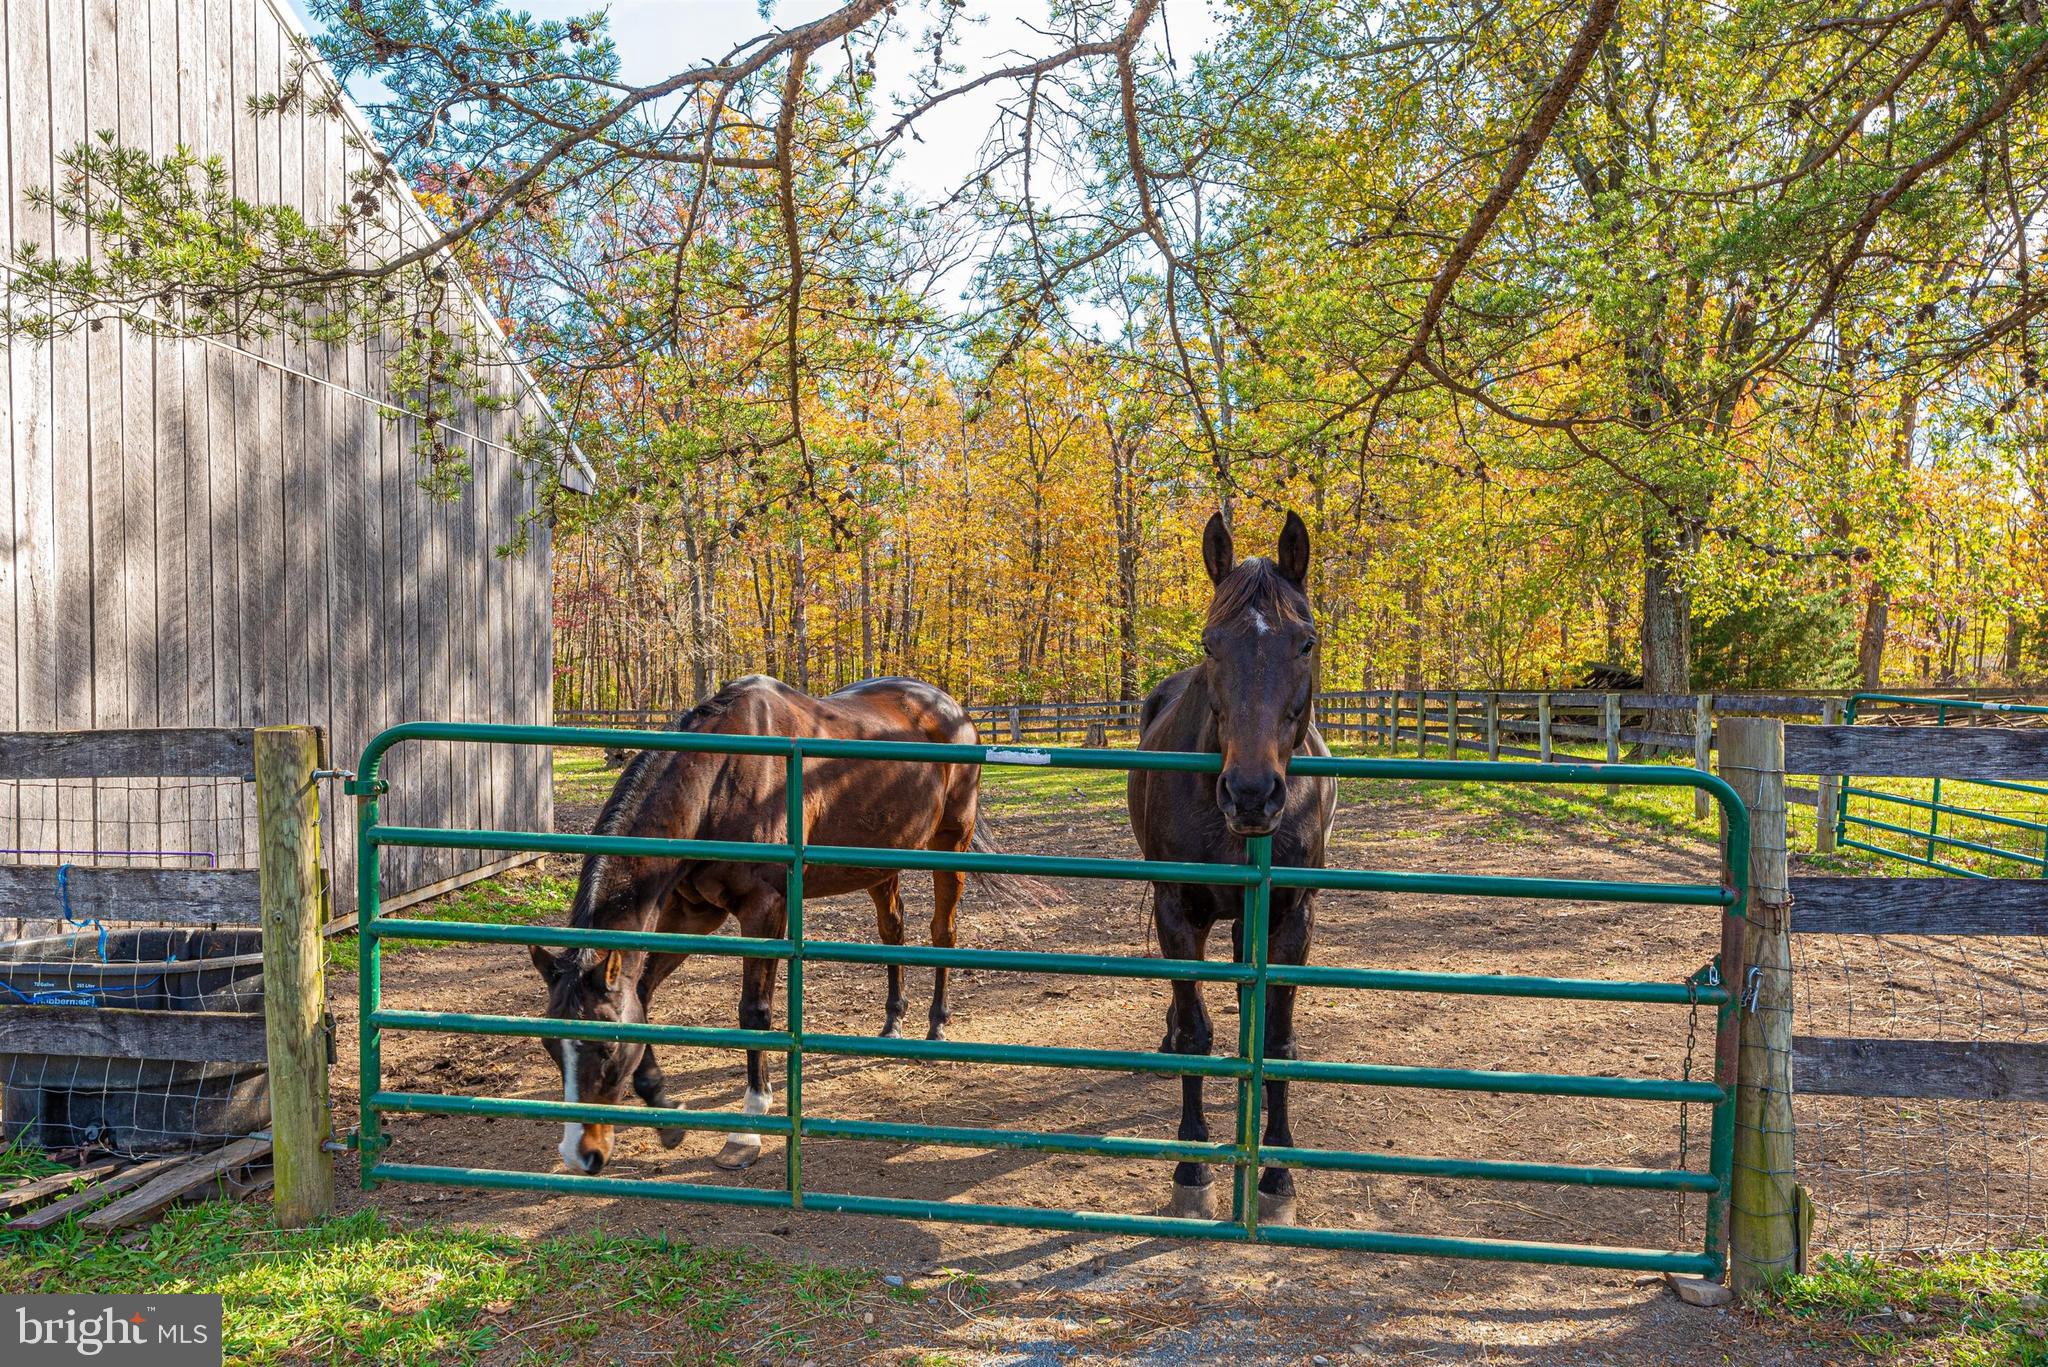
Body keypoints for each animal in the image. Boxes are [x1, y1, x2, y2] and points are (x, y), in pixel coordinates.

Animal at [531, 674, 1004, 1176]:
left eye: (605, 1047)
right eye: (550, 1045)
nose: (580, 1154)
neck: (720, 782)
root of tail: (950, 706)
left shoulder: (765, 910)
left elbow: (754, 1012)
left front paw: (748, 1128)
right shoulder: (693, 913)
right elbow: (640, 992)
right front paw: (663, 1108)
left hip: (950, 847)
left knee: (942, 934)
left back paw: (936, 1026)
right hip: (879, 864)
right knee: (892, 932)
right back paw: (893, 1022)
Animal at [1127, 511, 1336, 1225]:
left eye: (1305, 644)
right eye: (1211, 645)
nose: (1250, 793)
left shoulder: (1290, 919)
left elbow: (1273, 1040)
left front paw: (1276, 1177)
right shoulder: (1177, 911)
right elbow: (1196, 1031)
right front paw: (1192, 1171)